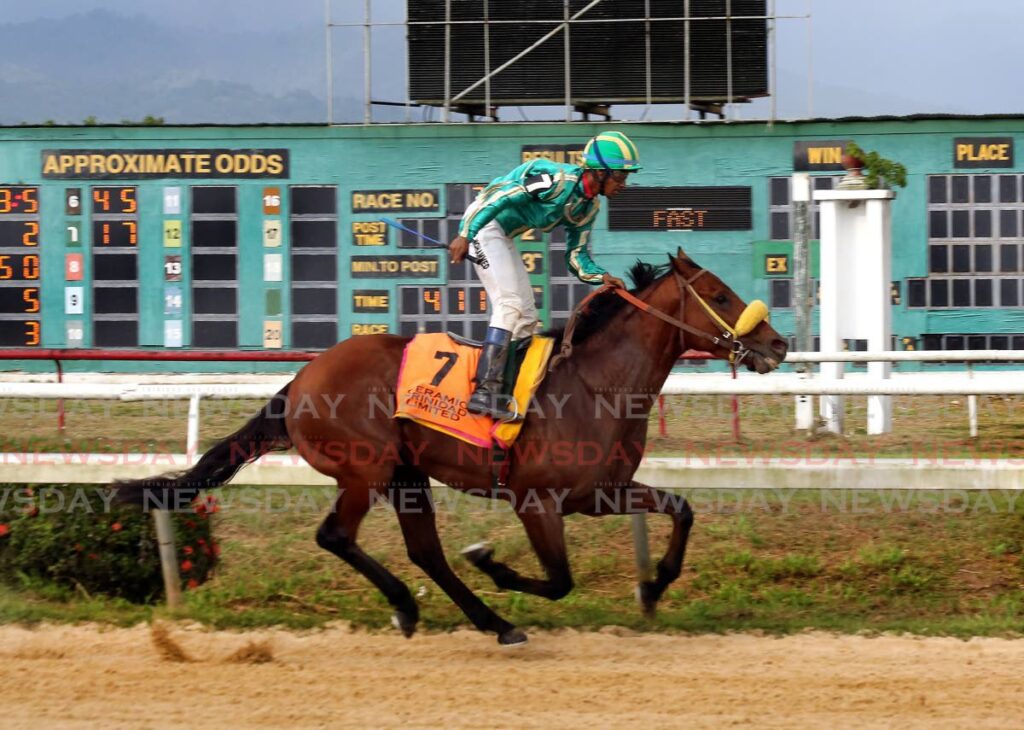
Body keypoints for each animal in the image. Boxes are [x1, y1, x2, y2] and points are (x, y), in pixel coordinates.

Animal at [117, 248, 782, 642]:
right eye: (719, 296)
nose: (776, 344)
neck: (599, 385)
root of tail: (300, 381)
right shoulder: (536, 501)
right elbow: (558, 579)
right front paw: (492, 562)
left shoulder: (600, 493)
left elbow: (682, 509)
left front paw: (654, 584)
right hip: (366, 468)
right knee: (337, 535)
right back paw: (423, 608)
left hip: (407, 475)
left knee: (423, 552)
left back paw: (487, 621)